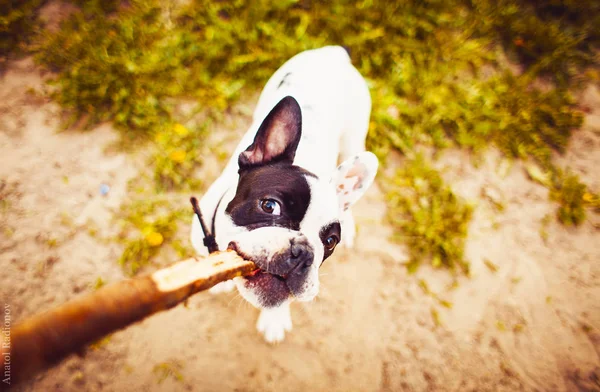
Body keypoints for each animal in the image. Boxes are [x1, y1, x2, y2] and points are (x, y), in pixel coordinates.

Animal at [192, 44, 378, 342]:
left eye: (330, 242)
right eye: (269, 206)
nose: (303, 251)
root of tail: (333, 53)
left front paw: (275, 319)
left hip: (354, 137)